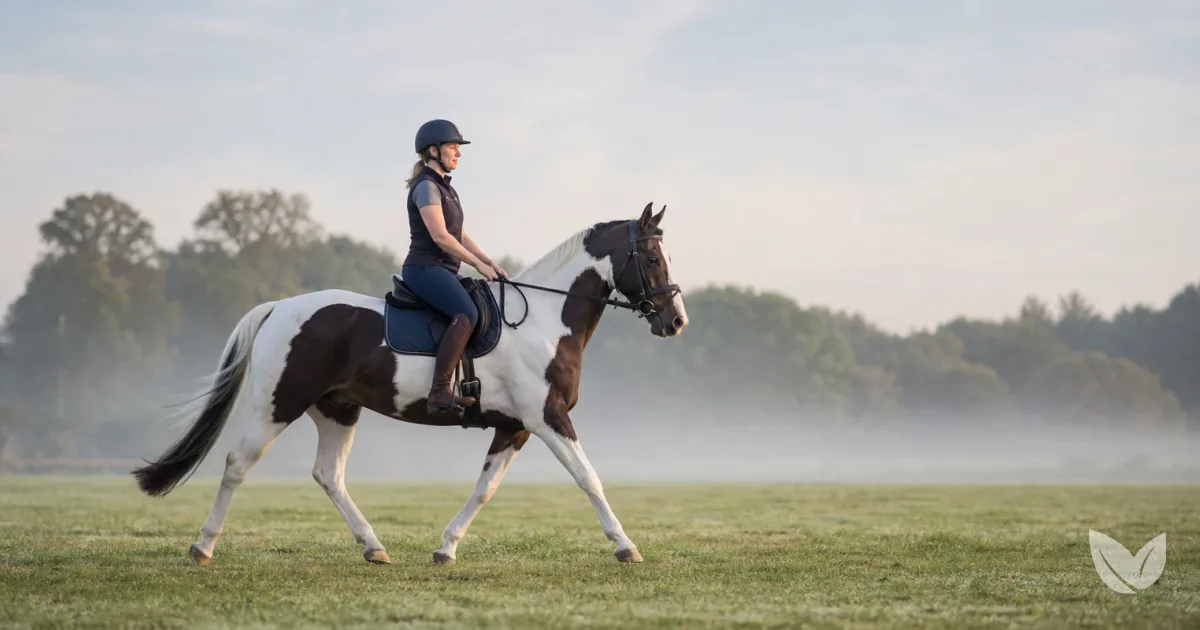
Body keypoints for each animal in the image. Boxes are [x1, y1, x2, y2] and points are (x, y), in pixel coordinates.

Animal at [131, 202, 688, 566]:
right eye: (652, 259)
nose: (676, 321)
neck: (546, 320)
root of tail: (280, 308)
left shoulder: (514, 427)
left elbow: (485, 489)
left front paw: (446, 548)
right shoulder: (547, 418)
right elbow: (588, 478)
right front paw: (625, 546)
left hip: (336, 409)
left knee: (329, 475)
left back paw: (374, 547)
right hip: (278, 405)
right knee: (236, 464)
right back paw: (203, 546)